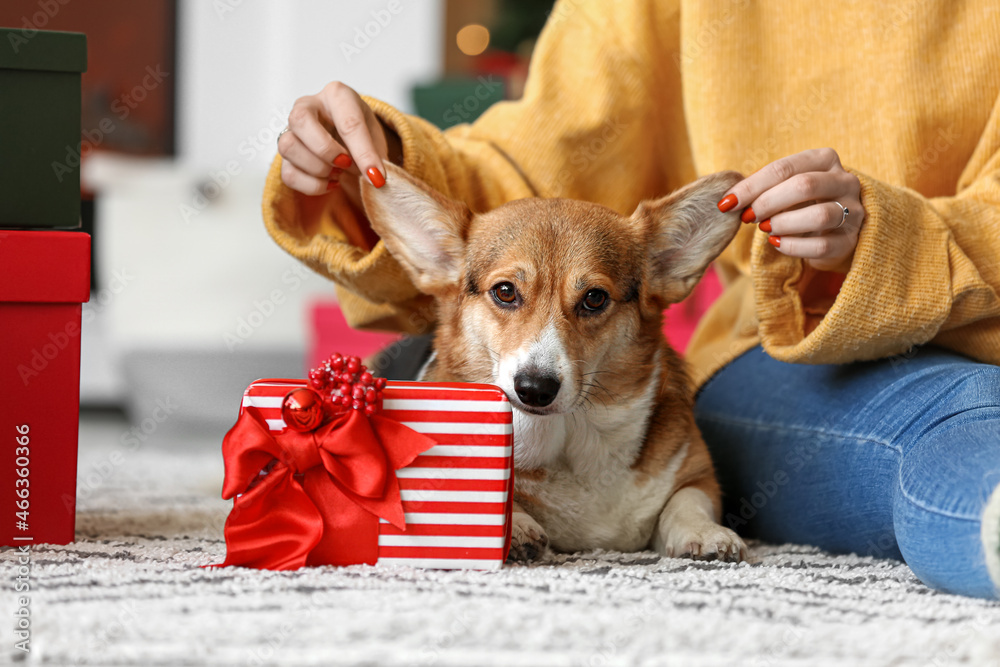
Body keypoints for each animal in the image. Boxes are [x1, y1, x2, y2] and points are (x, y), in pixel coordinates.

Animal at [364, 166, 748, 564]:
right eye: (505, 292)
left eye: (594, 298)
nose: (535, 389)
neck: (570, 440)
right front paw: (517, 527)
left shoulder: (697, 474)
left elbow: (687, 500)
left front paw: (705, 533)